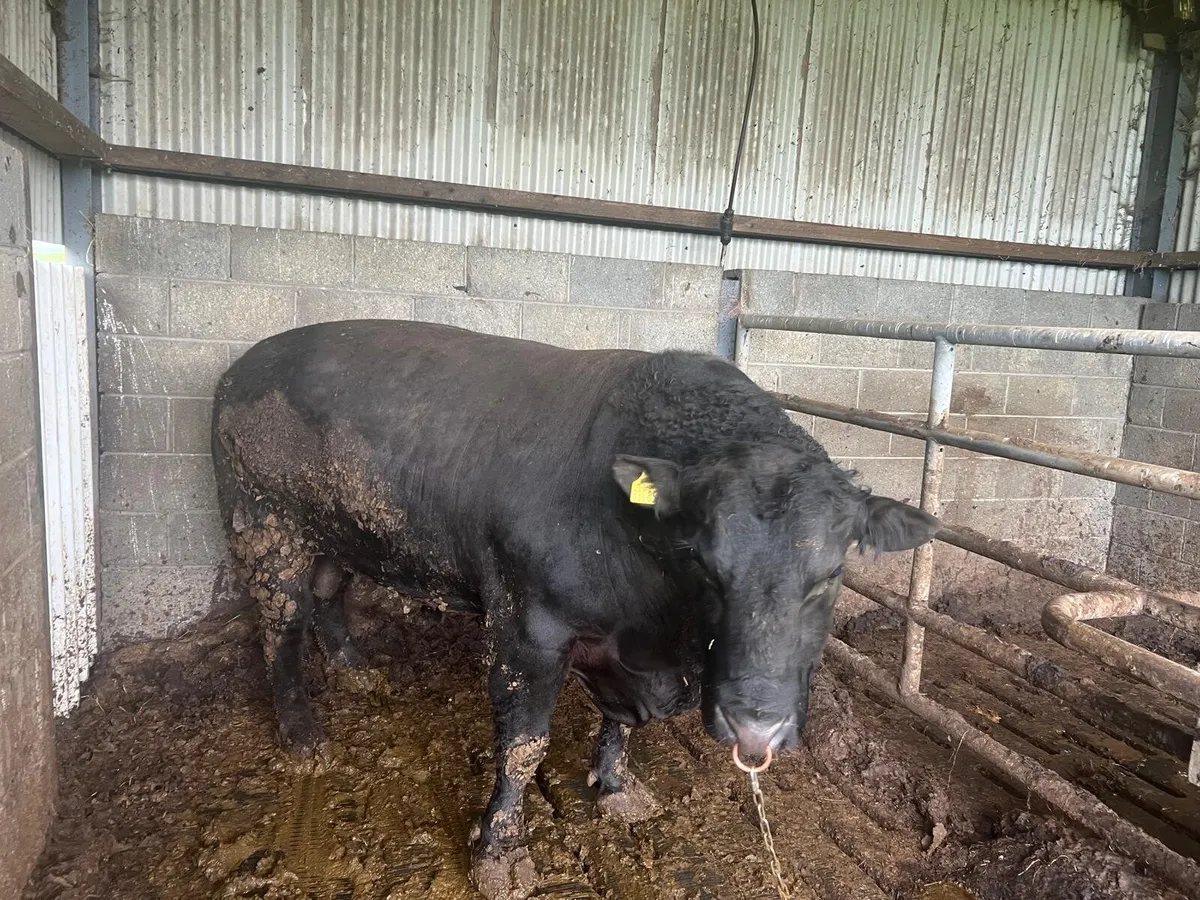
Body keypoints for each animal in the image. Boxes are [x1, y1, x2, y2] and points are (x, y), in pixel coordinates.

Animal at [211, 319, 939, 900]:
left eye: (831, 573)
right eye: (703, 561)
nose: (755, 726)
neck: (657, 630)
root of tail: (248, 361)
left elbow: (618, 727)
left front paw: (616, 788)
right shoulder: (525, 628)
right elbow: (522, 745)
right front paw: (500, 853)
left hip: (341, 529)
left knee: (329, 592)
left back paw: (356, 668)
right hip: (262, 524)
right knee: (279, 626)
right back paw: (304, 736)